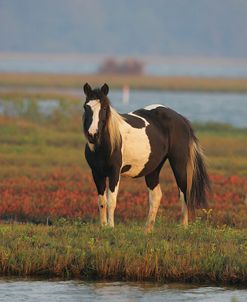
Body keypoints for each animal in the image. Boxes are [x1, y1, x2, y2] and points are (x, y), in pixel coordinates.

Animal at [82, 82, 209, 231]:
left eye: (104, 108)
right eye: (86, 107)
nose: (93, 135)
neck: (105, 145)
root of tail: (181, 119)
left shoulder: (114, 173)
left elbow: (111, 201)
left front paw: (111, 227)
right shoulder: (97, 173)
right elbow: (101, 201)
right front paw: (103, 227)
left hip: (179, 163)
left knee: (183, 193)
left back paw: (183, 227)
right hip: (153, 168)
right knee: (156, 196)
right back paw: (147, 230)